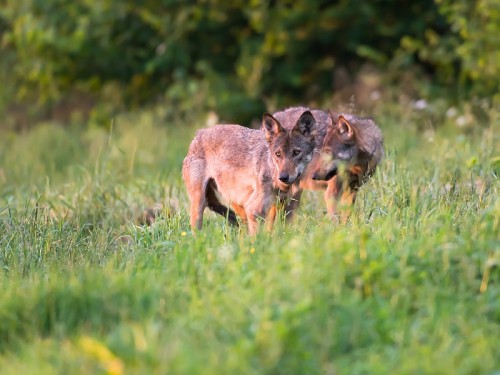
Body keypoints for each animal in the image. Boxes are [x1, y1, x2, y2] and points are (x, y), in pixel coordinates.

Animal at [183, 111, 316, 235]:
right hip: (200, 202)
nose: (283, 177)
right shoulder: (254, 210)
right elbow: (256, 237)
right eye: (278, 154)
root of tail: (199, 133)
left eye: (296, 152)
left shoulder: (288, 209)